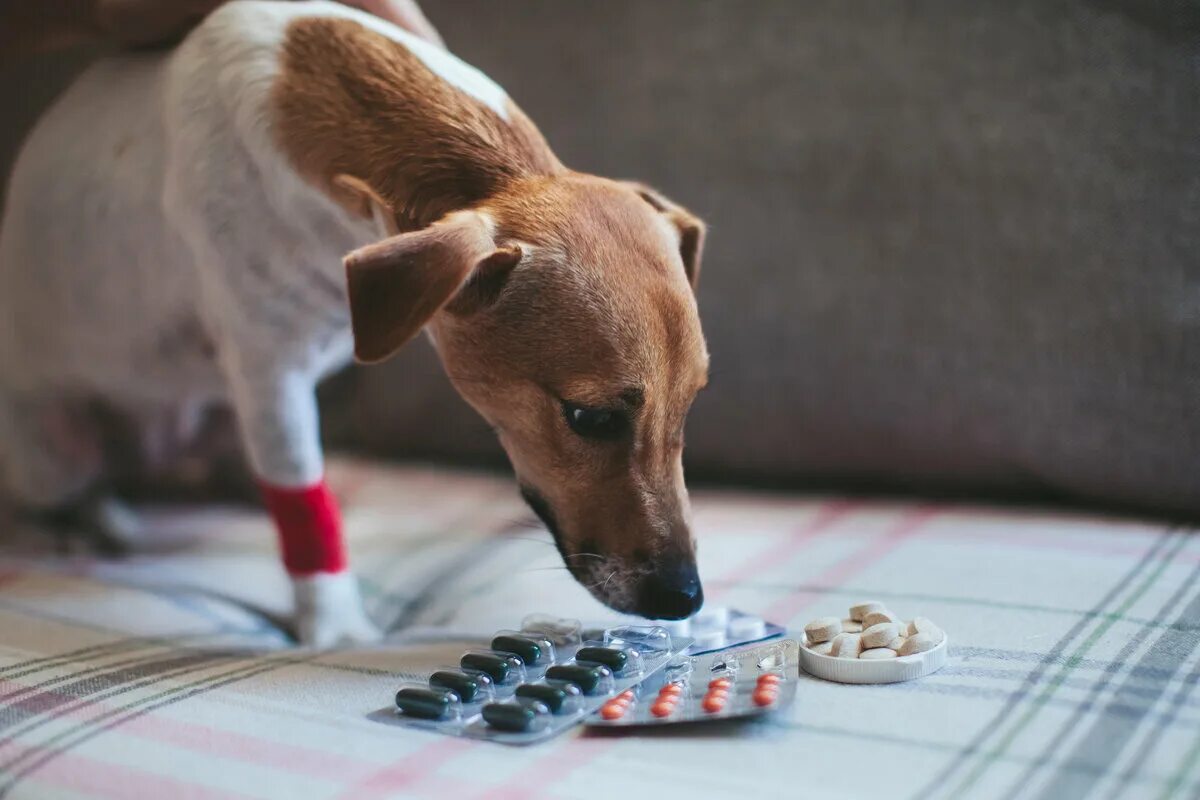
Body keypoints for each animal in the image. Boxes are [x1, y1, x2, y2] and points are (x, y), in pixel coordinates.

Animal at [0, 0, 705, 647]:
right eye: (589, 418)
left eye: (691, 404)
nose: (686, 599)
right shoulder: (271, 378)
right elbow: (303, 504)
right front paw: (335, 627)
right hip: (55, 450)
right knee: (72, 489)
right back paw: (86, 523)